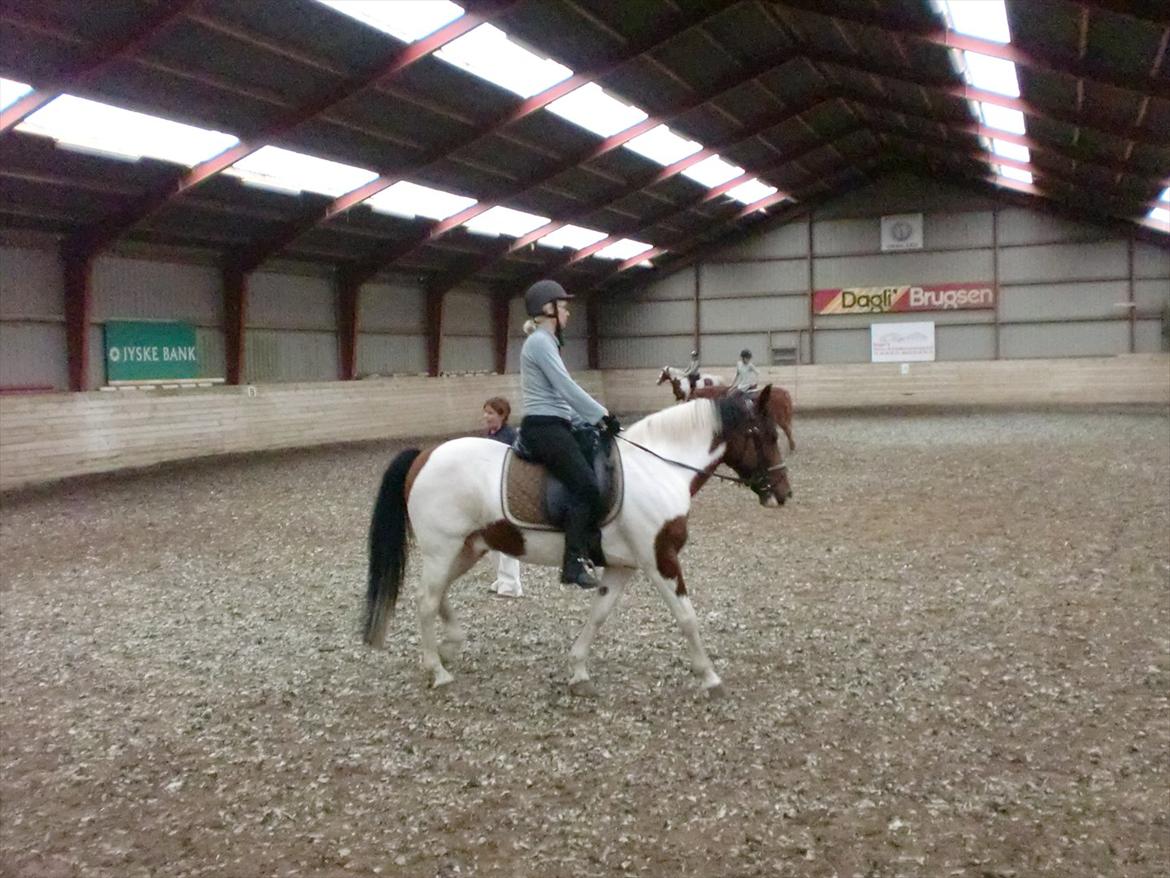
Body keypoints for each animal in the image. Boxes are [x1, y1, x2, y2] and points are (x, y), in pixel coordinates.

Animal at [360, 391, 790, 702]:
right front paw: (710, 678)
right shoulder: (660, 559)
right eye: (767, 436)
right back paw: (438, 671)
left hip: (467, 548)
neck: (660, 468)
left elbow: (598, 615)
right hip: (442, 548)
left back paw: (450, 647)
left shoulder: (622, 566)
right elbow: (686, 617)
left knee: (436, 594)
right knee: (426, 600)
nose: (784, 494)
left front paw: (578, 672)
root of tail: (425, 455)